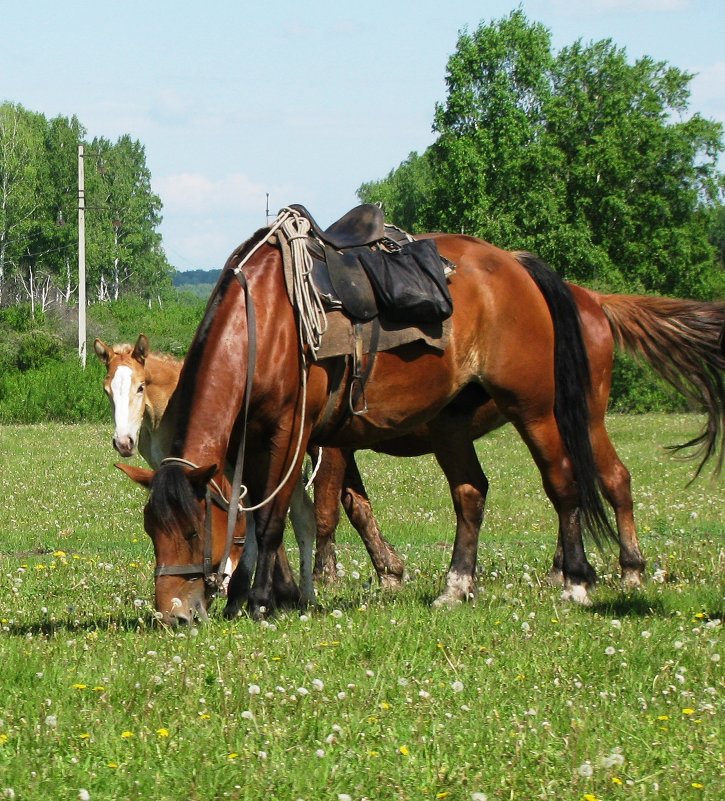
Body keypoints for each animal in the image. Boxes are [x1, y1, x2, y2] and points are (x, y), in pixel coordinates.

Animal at [120, 208, 724, 624]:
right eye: (151, 530)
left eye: (192, 529)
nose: (173, 614)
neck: (265, 322)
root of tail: (520, 266)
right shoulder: (259, 438)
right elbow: (267, 515)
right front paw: (257, 594)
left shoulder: (298, 433)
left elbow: (278, 519)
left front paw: (268, 600)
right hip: (455, 425)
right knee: (472, 494)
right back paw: (458, 585)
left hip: (543, 411)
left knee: (574, 482)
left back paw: (585, 577)